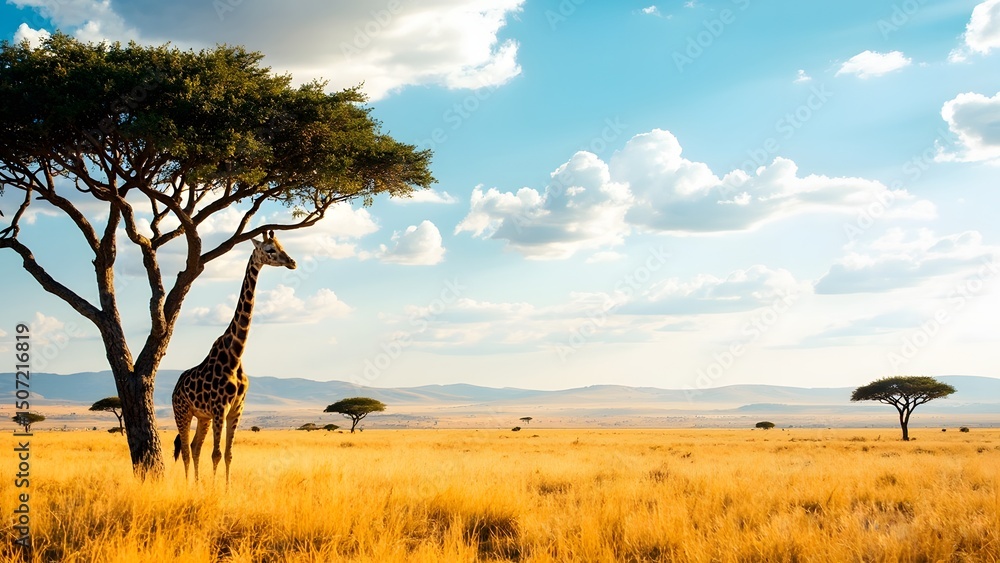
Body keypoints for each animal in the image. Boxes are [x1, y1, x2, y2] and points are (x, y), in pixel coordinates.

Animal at [172, 230, 296, 484]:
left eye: (282, 245)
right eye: (269, 249)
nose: (292, 262)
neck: (236, 354)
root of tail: (175, 389)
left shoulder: (236, 409)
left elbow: (229, 454)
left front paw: (226, 488)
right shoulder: (220, 408)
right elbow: (216, 454)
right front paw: (214, 490)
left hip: (202, 417)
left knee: (194, 447)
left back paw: (197, 485)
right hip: (182, 412)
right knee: (186, 450)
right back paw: (189, 485)